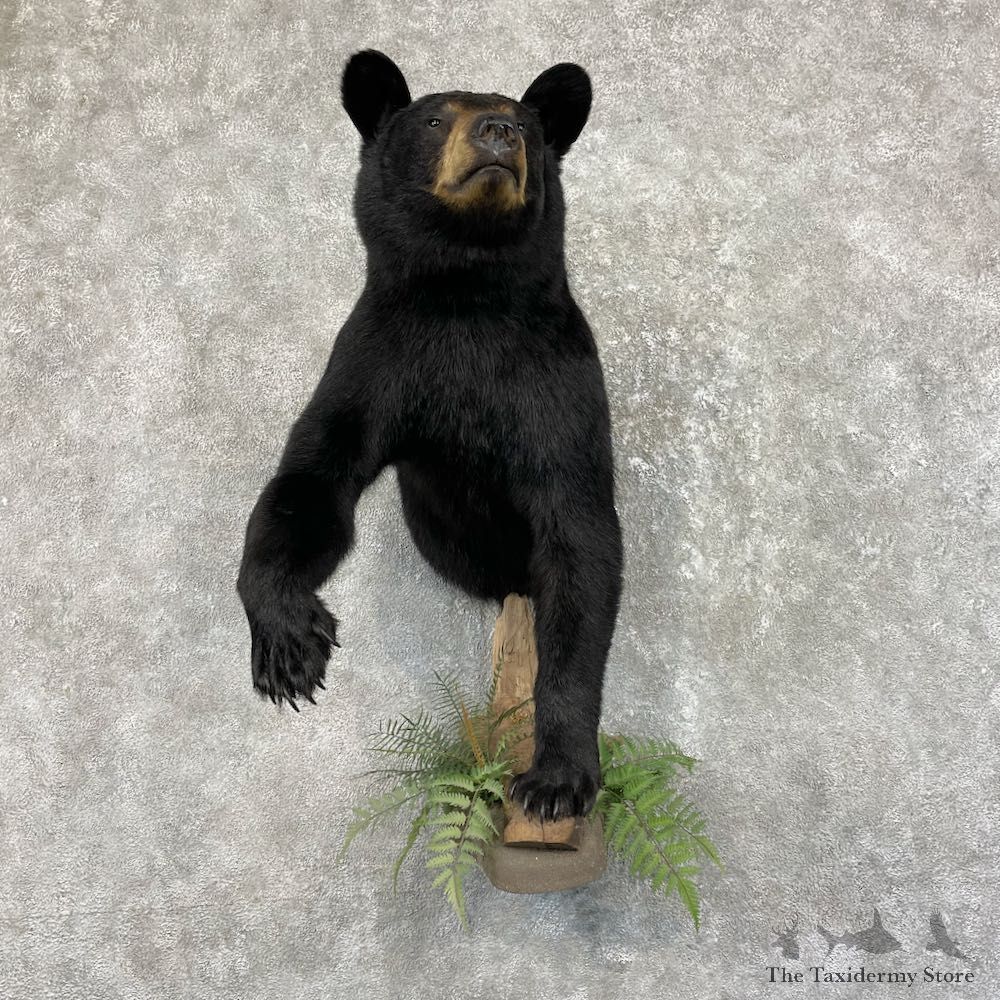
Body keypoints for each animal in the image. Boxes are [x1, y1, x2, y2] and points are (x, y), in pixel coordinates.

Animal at [236, 50, 623, 822]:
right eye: (437, 117)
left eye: (528, 123)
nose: (500, 132)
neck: (463, 293)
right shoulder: (378, 358)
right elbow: (312, 478)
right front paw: (289, 644)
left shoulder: (554, 382)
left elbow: (581, 538)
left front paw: (557, 779)